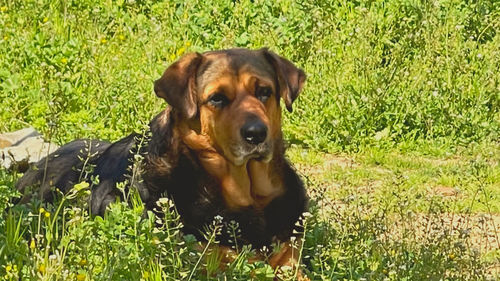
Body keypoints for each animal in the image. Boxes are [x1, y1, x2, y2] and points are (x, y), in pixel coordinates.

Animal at [16, 47, 308, 274]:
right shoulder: (208, 260)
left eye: (264, 92)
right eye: (217, 98)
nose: (256, 133)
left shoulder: (290, 260)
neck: (246, 196)